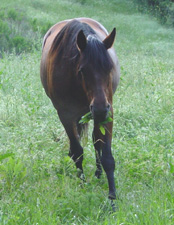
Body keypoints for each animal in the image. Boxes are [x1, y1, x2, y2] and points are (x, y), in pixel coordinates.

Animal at [40, 18, 120, 200]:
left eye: (110, 67)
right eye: (83, 70)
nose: (99, 109)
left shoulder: (108, 112)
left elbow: (107, 156)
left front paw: (112, 197)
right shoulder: (66, 115)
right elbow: (77, 152)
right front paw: (82, 185)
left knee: (97, 142)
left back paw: (98, 174)